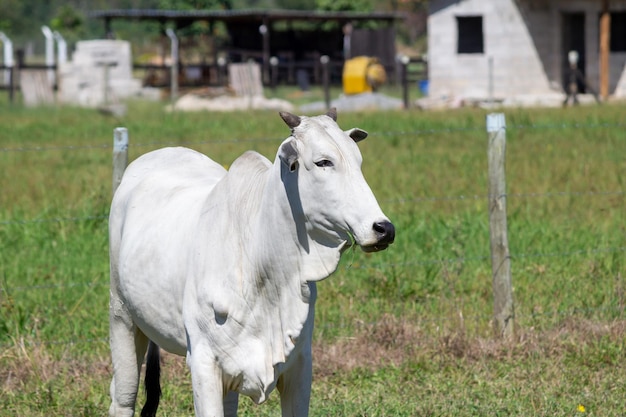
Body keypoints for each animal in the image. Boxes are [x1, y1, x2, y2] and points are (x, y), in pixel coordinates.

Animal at [106, 109, 390, 414]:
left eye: (358, 161)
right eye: (323, 162)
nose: (384, 228)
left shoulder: (301, 363)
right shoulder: (203, 364)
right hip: (121, 313)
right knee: (123, 398)